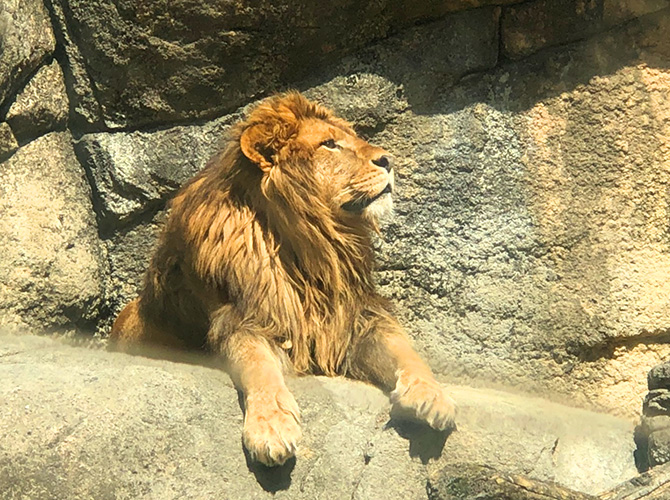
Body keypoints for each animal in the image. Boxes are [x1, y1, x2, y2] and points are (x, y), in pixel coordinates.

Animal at [110, 94, 456, 468]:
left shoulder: (358, 319)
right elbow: (259, 367)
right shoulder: (242, 318)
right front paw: (271, 426)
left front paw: (432, 393)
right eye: (329, 144)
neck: (310, 244)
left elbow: (405, 351)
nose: (388, 160)